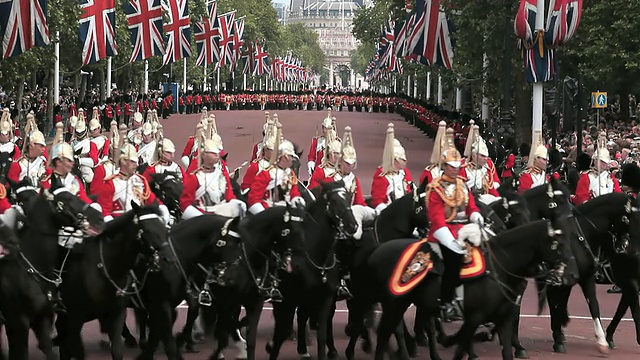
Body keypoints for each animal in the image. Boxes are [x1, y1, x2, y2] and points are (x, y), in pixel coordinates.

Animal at [0, 179, 104, 360]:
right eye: (67, 198)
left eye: (75, 194)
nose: (99, 217)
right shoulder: (18, 320)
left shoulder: (41, 318)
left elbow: (48, 350)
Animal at [54, 202, 168, 360]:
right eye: (146, 230)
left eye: (163, 228)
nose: (167, 258)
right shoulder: (75, 316)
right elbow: (77, 350)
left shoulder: (117, 312)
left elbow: (117, 349)